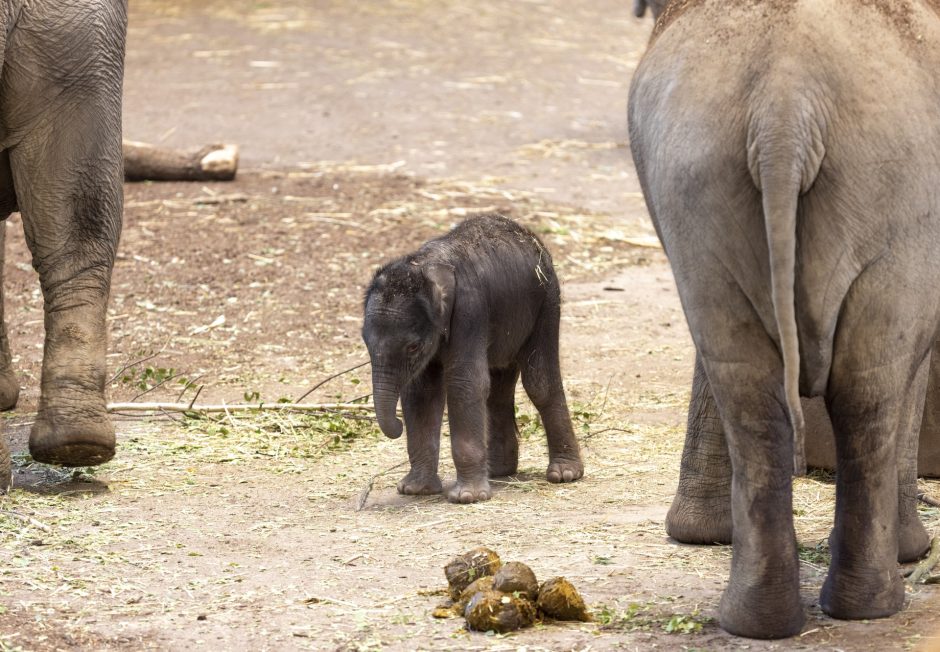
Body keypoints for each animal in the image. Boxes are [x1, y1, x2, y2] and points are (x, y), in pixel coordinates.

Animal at [364, 214, 584, 504]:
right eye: (365, 342)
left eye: (412, 347)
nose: (398, 425)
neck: (426, 265)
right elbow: (421, 392)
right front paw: (415, 490)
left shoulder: (469, 310)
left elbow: (464, 383)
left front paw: (467, 497)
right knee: (498, 387)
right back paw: (499, 471)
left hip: (547, 302)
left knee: (539, 383)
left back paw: (565, 474)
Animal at [628, 0, 940, 640]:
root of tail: (784, 105)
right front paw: (915, 550)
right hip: (894, 188)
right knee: (873, 384)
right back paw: (877, 600)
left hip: (699, 180)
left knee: (751, 386)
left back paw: (761, 621)